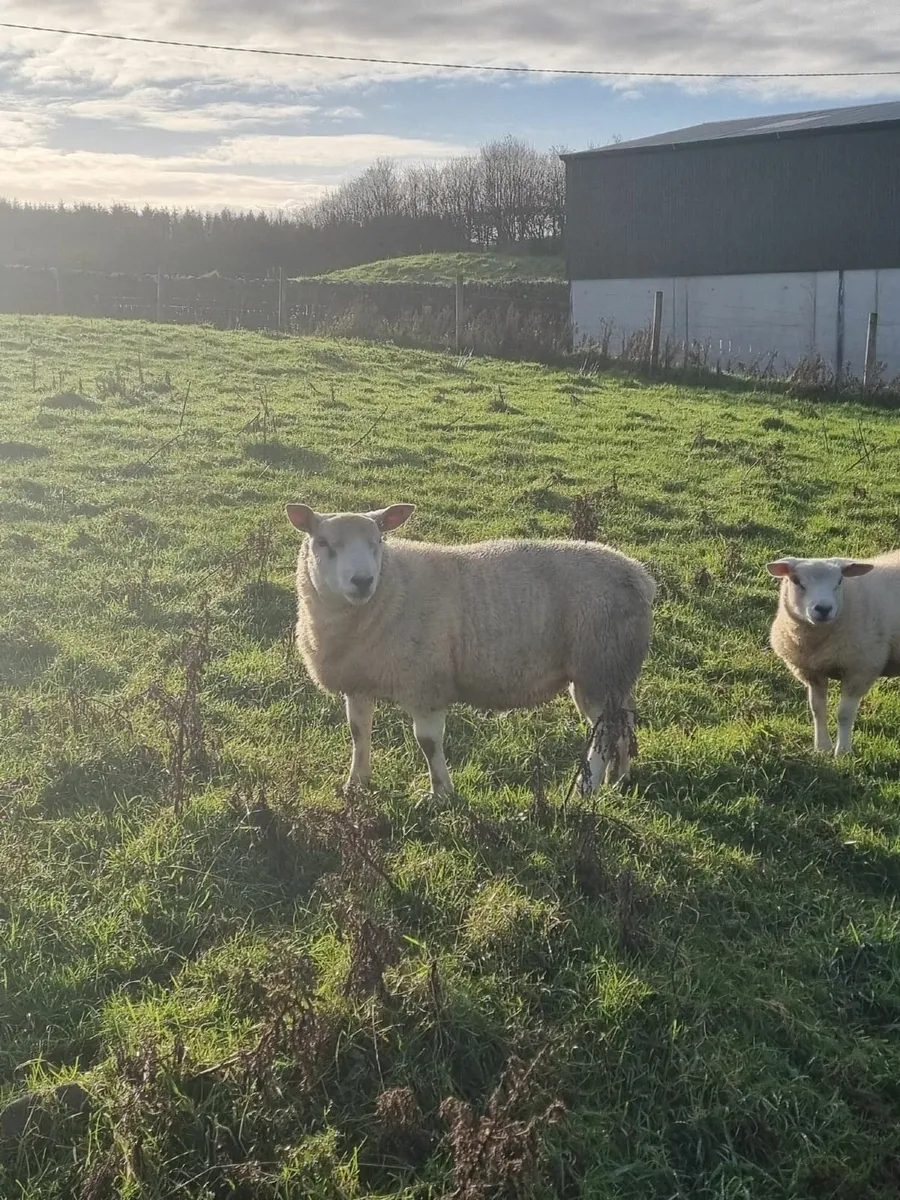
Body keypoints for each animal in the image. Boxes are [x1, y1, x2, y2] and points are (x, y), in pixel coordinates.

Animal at [286, 501, 656, 794]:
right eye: (322, 542)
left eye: (378, 541)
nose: (362, 581)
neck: (391, 590)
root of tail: (640, 575)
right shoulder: (358, 682)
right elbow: (358, 733)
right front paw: (356, 784)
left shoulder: (427, 685)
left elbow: (428, 743)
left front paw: (440, 795)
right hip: (616, 673)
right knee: (624, 724)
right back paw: (618, 778)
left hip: (600, 668)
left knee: (606, 731)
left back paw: (586, 789)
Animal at [766, 552, 900, 755]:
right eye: (796, 581)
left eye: (839, 581)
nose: (823, 608)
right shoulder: (812, 672)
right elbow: (817, 709)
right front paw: (822, 748)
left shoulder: (860, 670)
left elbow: (844, 714)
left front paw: (842, 752)